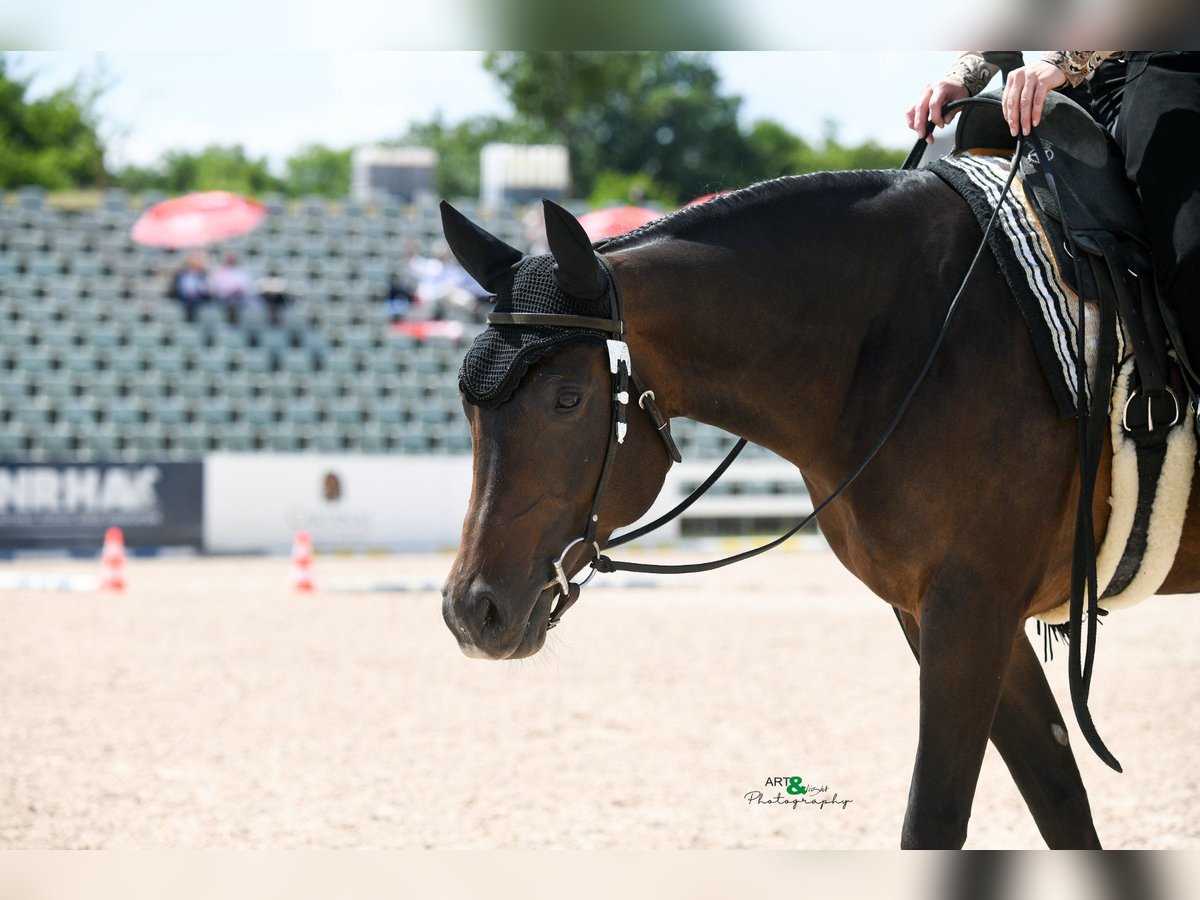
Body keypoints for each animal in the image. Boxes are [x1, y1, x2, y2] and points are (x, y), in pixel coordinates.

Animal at [437, 170, 1200, 849]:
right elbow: (1060, 802)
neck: (906, 347)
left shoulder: (973, 608)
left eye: (567, 398)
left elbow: (933, 820)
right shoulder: (956, 615)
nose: (472, 610)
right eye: (467, 402)